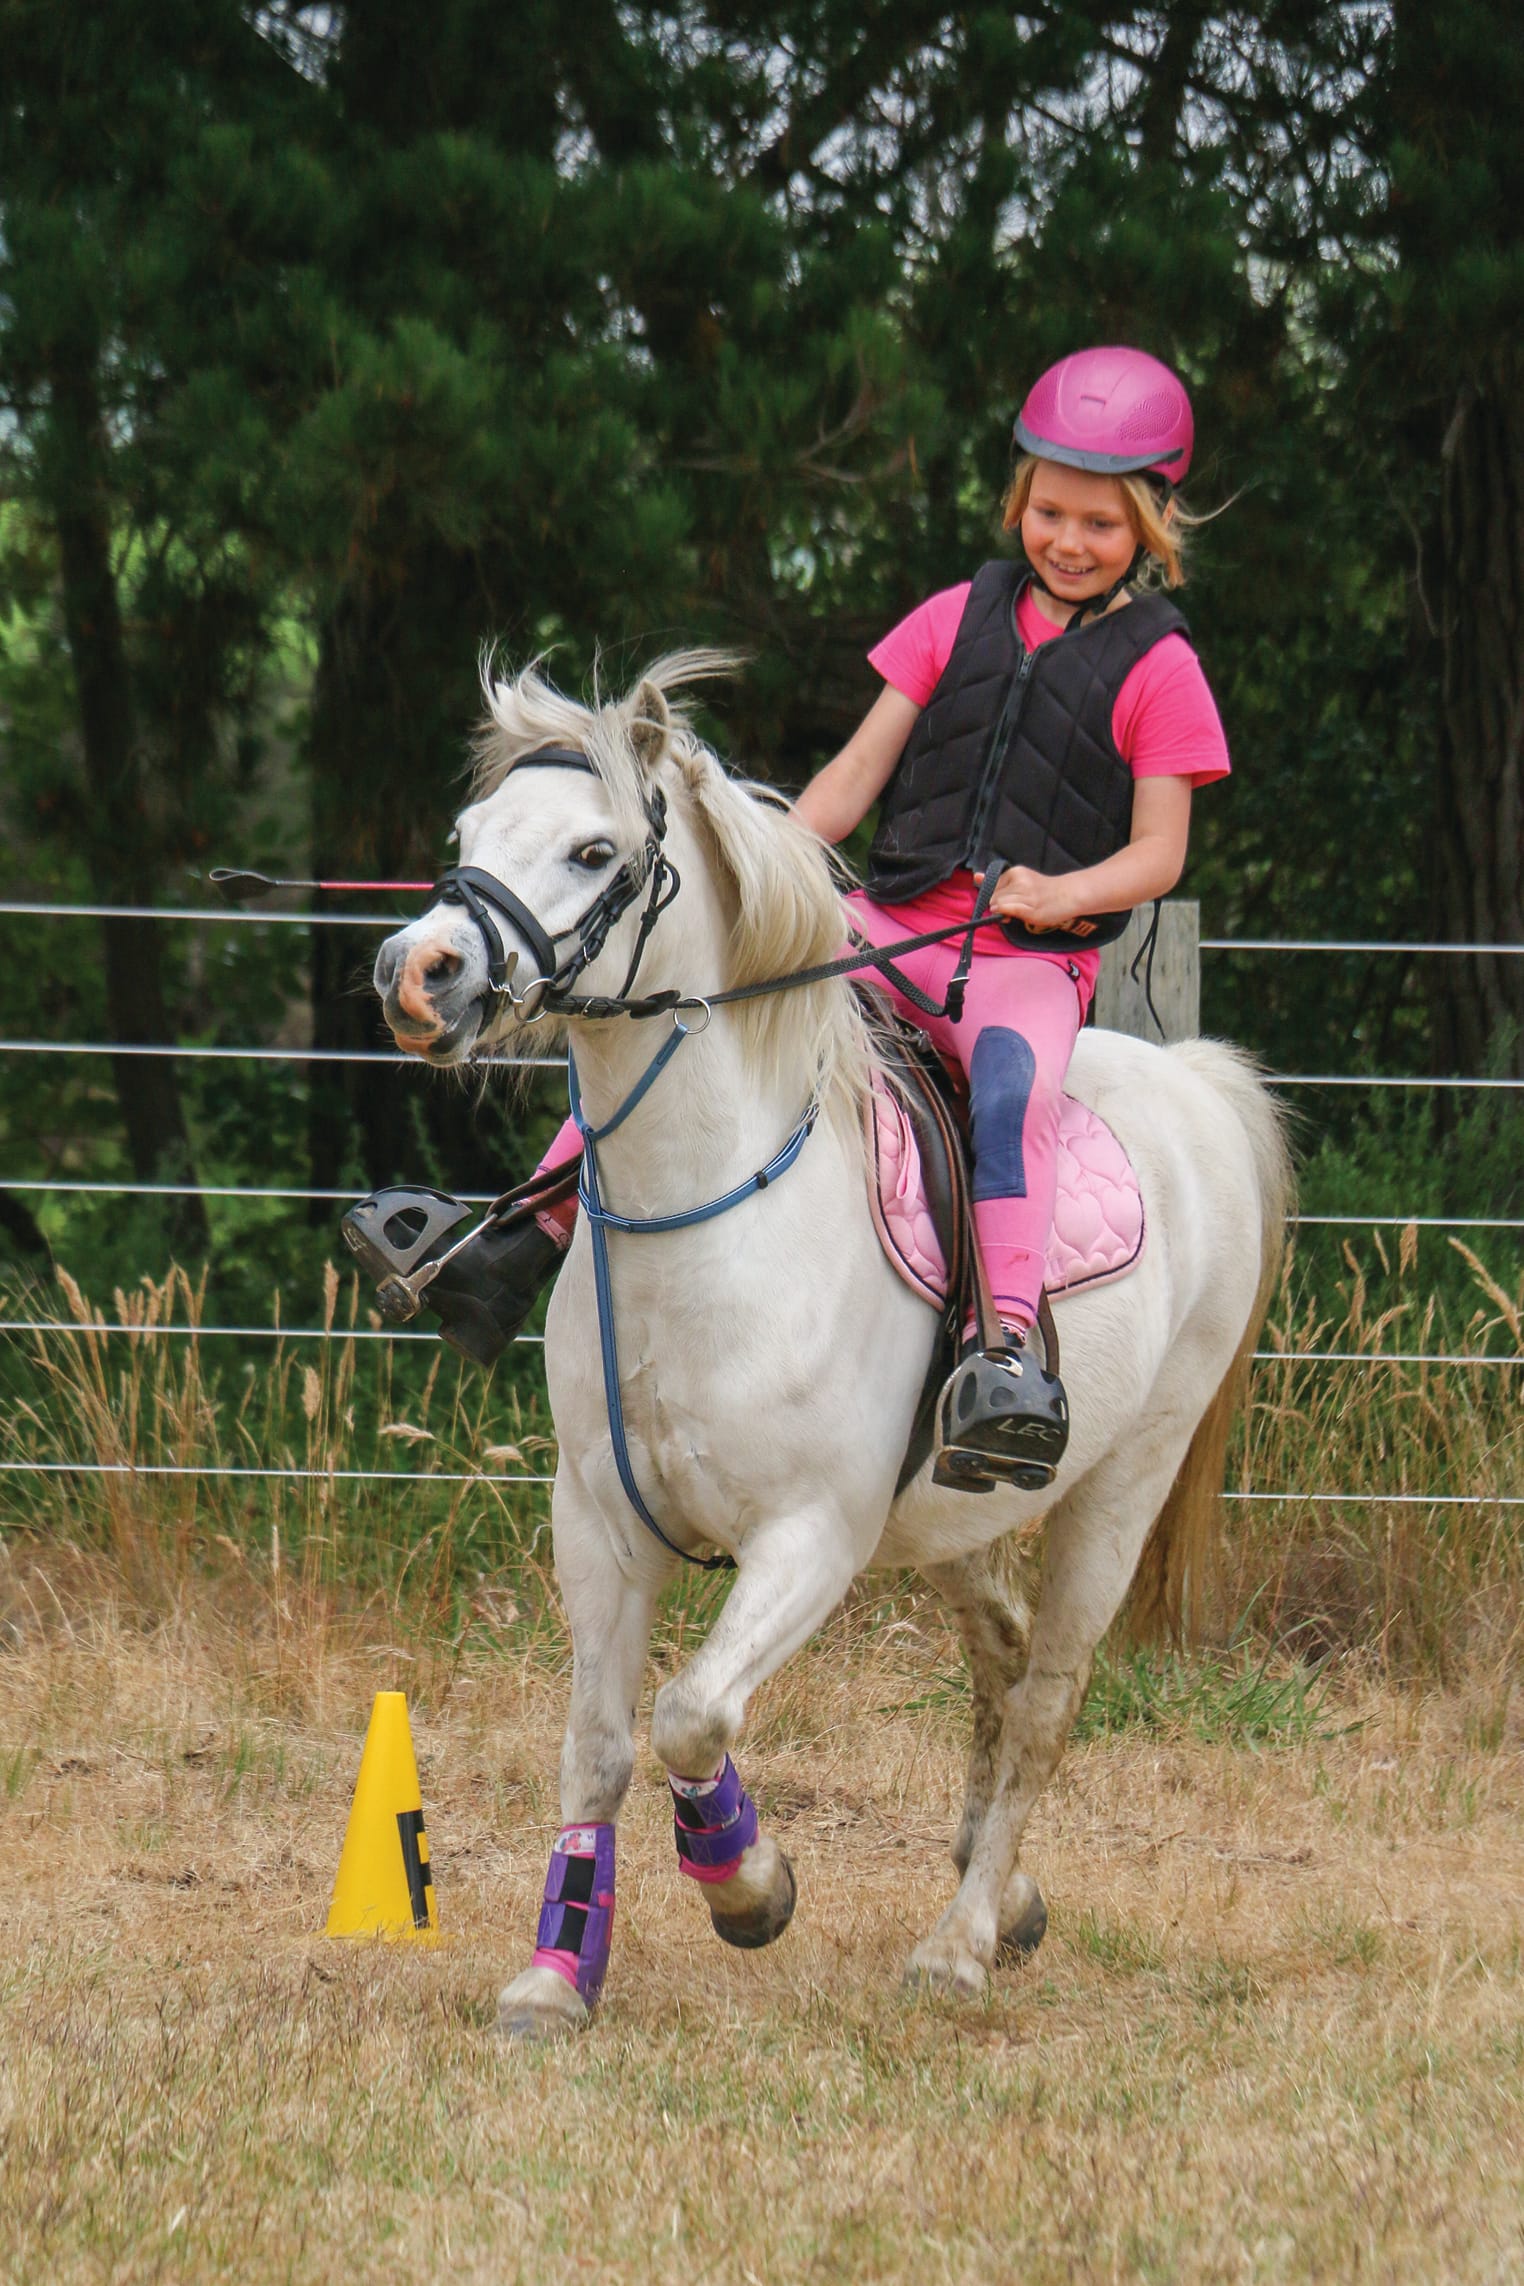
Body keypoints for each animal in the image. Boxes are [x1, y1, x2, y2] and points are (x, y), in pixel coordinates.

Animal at [371, 652, 1291, 2039]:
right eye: (470, 836)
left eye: (595, 850)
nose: (417, 972)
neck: (707, 1219)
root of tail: (1194, 1082)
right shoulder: (595, 1520)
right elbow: (599, 1743)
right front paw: (555, 1972)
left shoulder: (810, 1537)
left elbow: (693, 1715)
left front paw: (750, 1887)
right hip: (949, 1515)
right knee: (1002, 1656)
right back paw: (1002, 1898)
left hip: (1120, 1489)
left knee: (1046, 1702)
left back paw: (958, 1945)